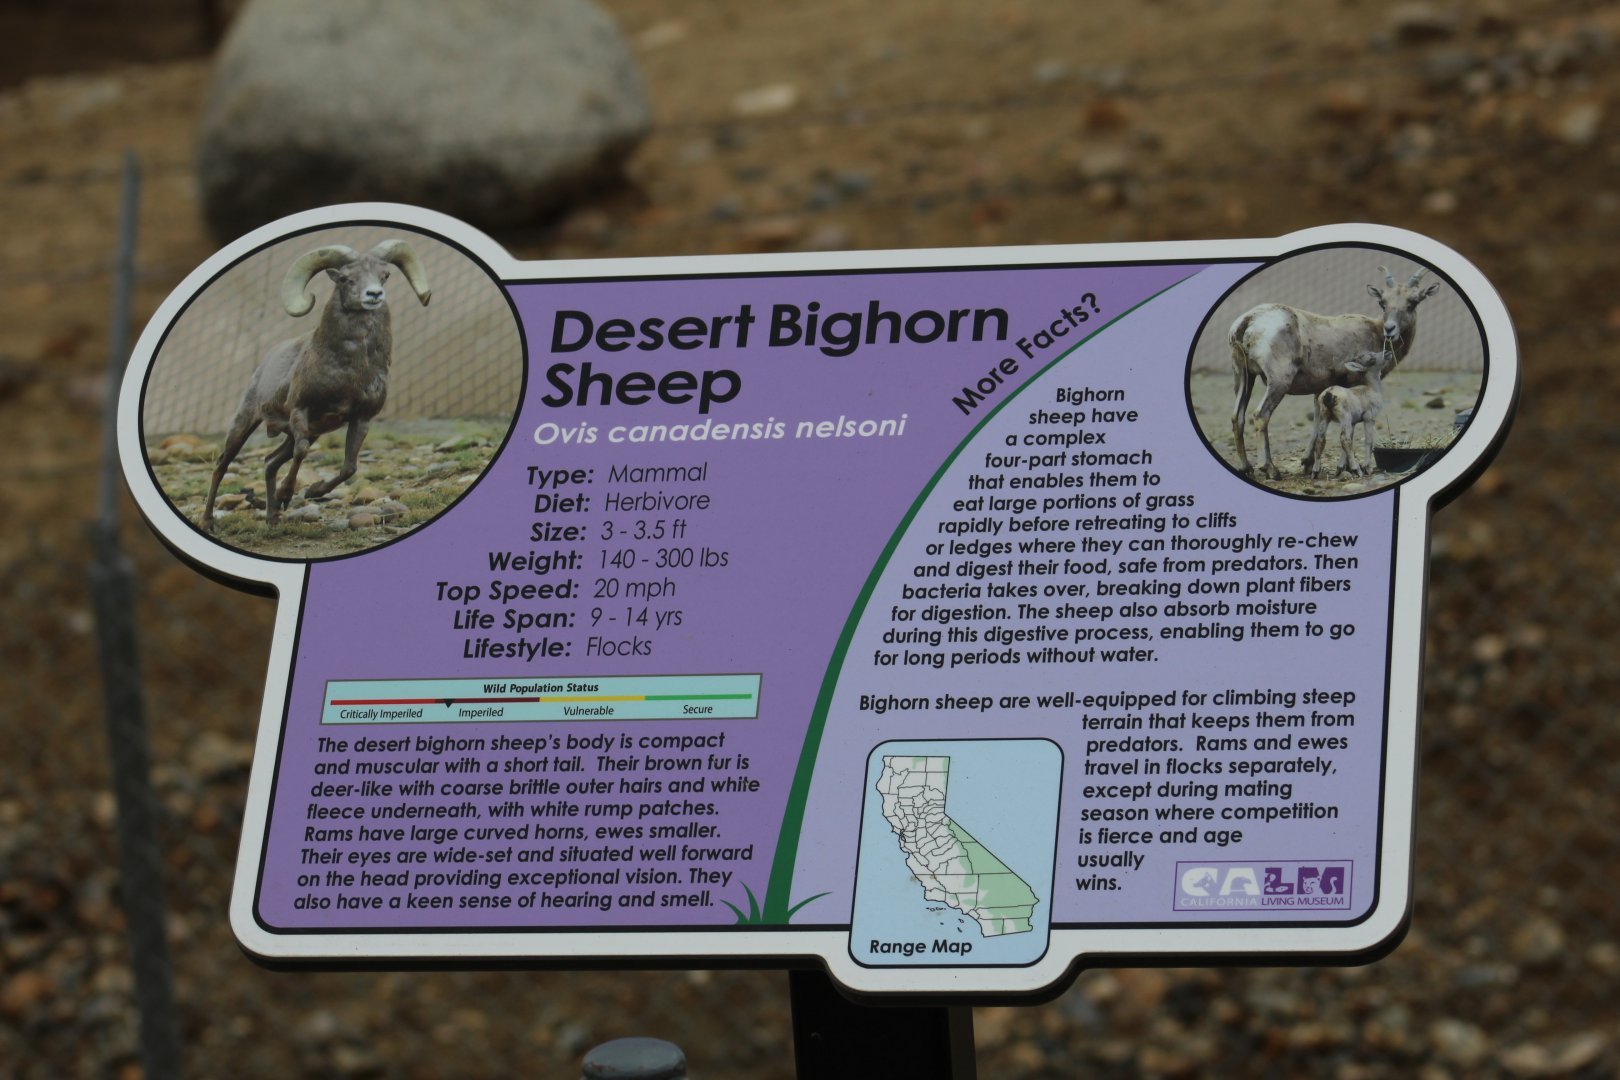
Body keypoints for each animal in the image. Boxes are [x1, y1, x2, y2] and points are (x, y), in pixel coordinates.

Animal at [201, 240, 431, 533]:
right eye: (345, 278)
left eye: (385, 275)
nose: (374, 294)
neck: (349, 372)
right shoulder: (301, 410)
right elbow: (302, 452)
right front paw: (287, 494)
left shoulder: (361, 419)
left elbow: (349, 468)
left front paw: (312, 491)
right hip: (244, 424)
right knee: (222, 465)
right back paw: (209, 521)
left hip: (304, 433)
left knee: (270, 462)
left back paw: (273, 517)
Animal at [1229, 266, 1440, 480]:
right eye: (1383, 302)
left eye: (1412, 302)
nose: (1390, 329)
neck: (1374, 330)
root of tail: (1248, 320)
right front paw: (1348, 467)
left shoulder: (1320, 390)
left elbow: (1317, 423)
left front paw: (1309, 464)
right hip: (1278, 382)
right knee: (1261, 415)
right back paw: (1271, 469)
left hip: (1243, 377)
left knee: (1237, 416)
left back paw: (1246, 467)